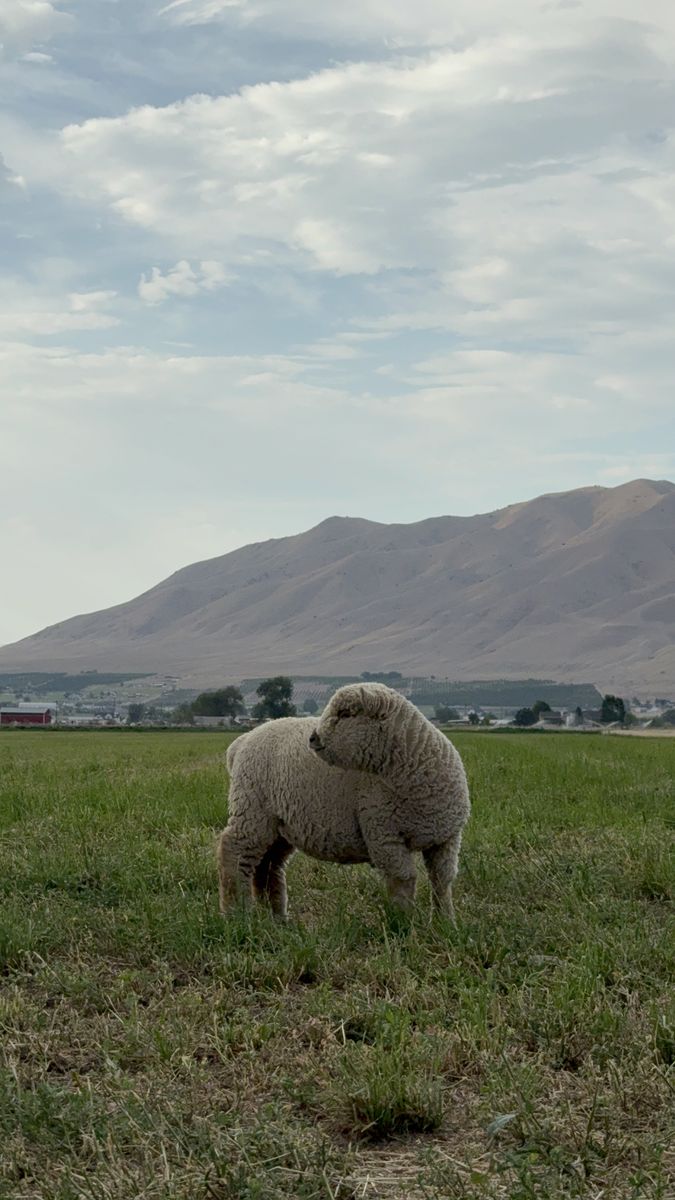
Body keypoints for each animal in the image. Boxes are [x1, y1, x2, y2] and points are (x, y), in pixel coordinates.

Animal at [218, 682, 470, 921]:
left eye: (346, 713)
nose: (313, 738)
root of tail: (241, 742)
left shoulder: (446, 837)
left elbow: (442, 881)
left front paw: (446, 922)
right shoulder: (383, 834)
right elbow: (403, 880)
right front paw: (404, 923)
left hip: (280, 824)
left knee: (268, 866)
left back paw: (276, 918)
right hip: (252, 807)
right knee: (233, 850)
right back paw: (236, 913)